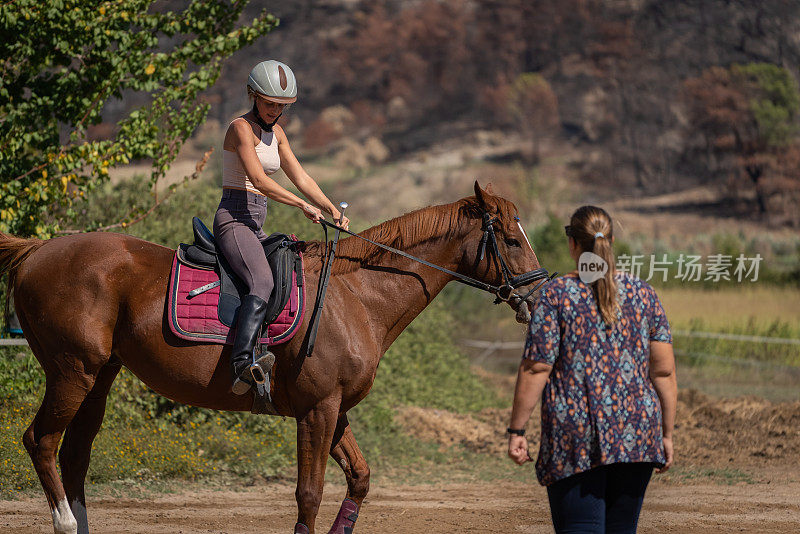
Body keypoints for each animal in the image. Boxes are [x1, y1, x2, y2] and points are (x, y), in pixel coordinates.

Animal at [0, 182, 544, 532]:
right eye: (510, 240)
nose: (539, 298)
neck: (357, 297)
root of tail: (37, 251)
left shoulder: (334, 410)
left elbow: (360, 481)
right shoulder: (317, 410)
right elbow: (309, 495)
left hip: (100, 377)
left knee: (74, 455)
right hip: (72, 372)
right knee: (41, 442)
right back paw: (64, 522)